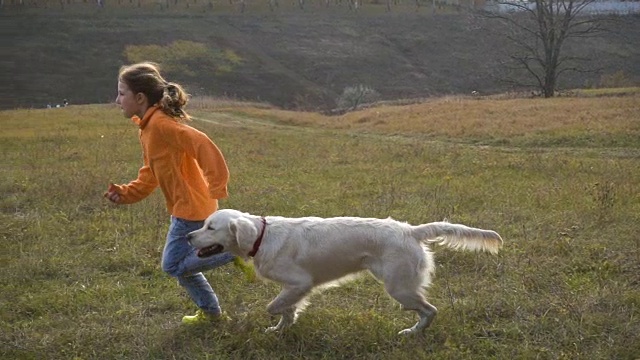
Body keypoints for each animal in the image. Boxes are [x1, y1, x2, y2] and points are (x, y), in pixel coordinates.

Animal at [188, 208, 502, 334]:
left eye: (210, 227)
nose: (189, 237)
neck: (263, 236)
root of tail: (410, 230)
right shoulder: (293, 288)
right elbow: (287, 310)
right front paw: (280, 329)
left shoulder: (300, 282)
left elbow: (272, 306)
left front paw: (278, 322)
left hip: (399, 288)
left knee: (430, 311)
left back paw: (412, 332)